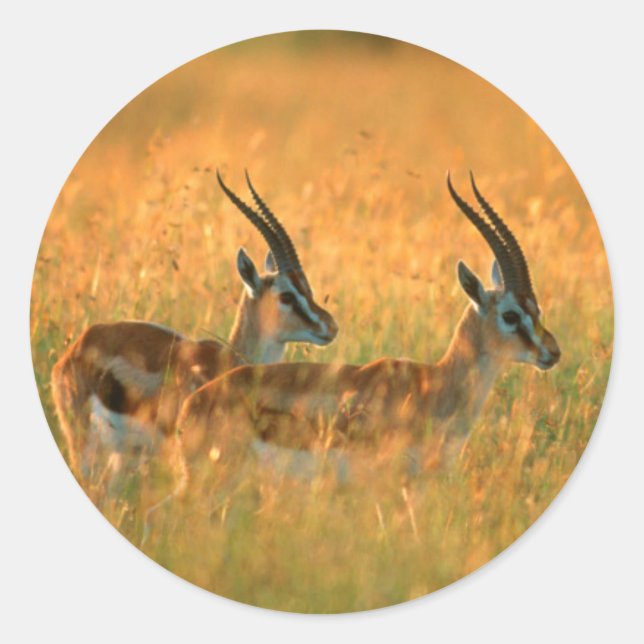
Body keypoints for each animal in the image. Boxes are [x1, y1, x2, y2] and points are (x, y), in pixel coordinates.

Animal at [51, 171, 338, 486]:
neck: (228, 361)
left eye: (308, 288)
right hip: (85, 446)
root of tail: (77, 346)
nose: (330, 326)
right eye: (286, 295)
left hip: (121, 456)